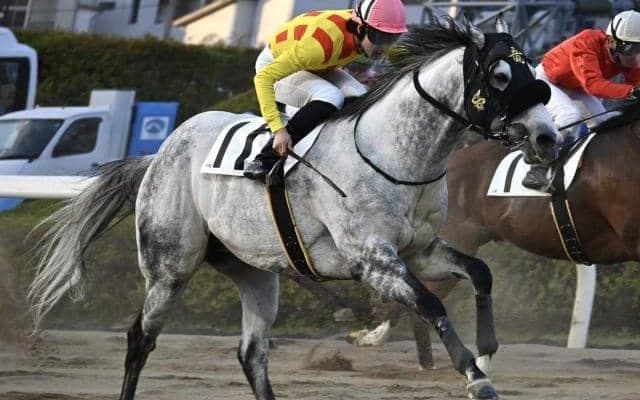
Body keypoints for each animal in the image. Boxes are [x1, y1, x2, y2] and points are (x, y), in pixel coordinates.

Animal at [27, 19, 561, 400]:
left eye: (534, 72)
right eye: (500, 75)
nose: (547, 138)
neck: (396, 153)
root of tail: (160, 152)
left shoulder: (421, 251)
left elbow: (480, 272)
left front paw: (488, 353)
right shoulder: (374, 261)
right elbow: (431, 304)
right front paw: (475, 376)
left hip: (255, 271)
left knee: (251, 353)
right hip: (169, 266)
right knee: (140, 338)